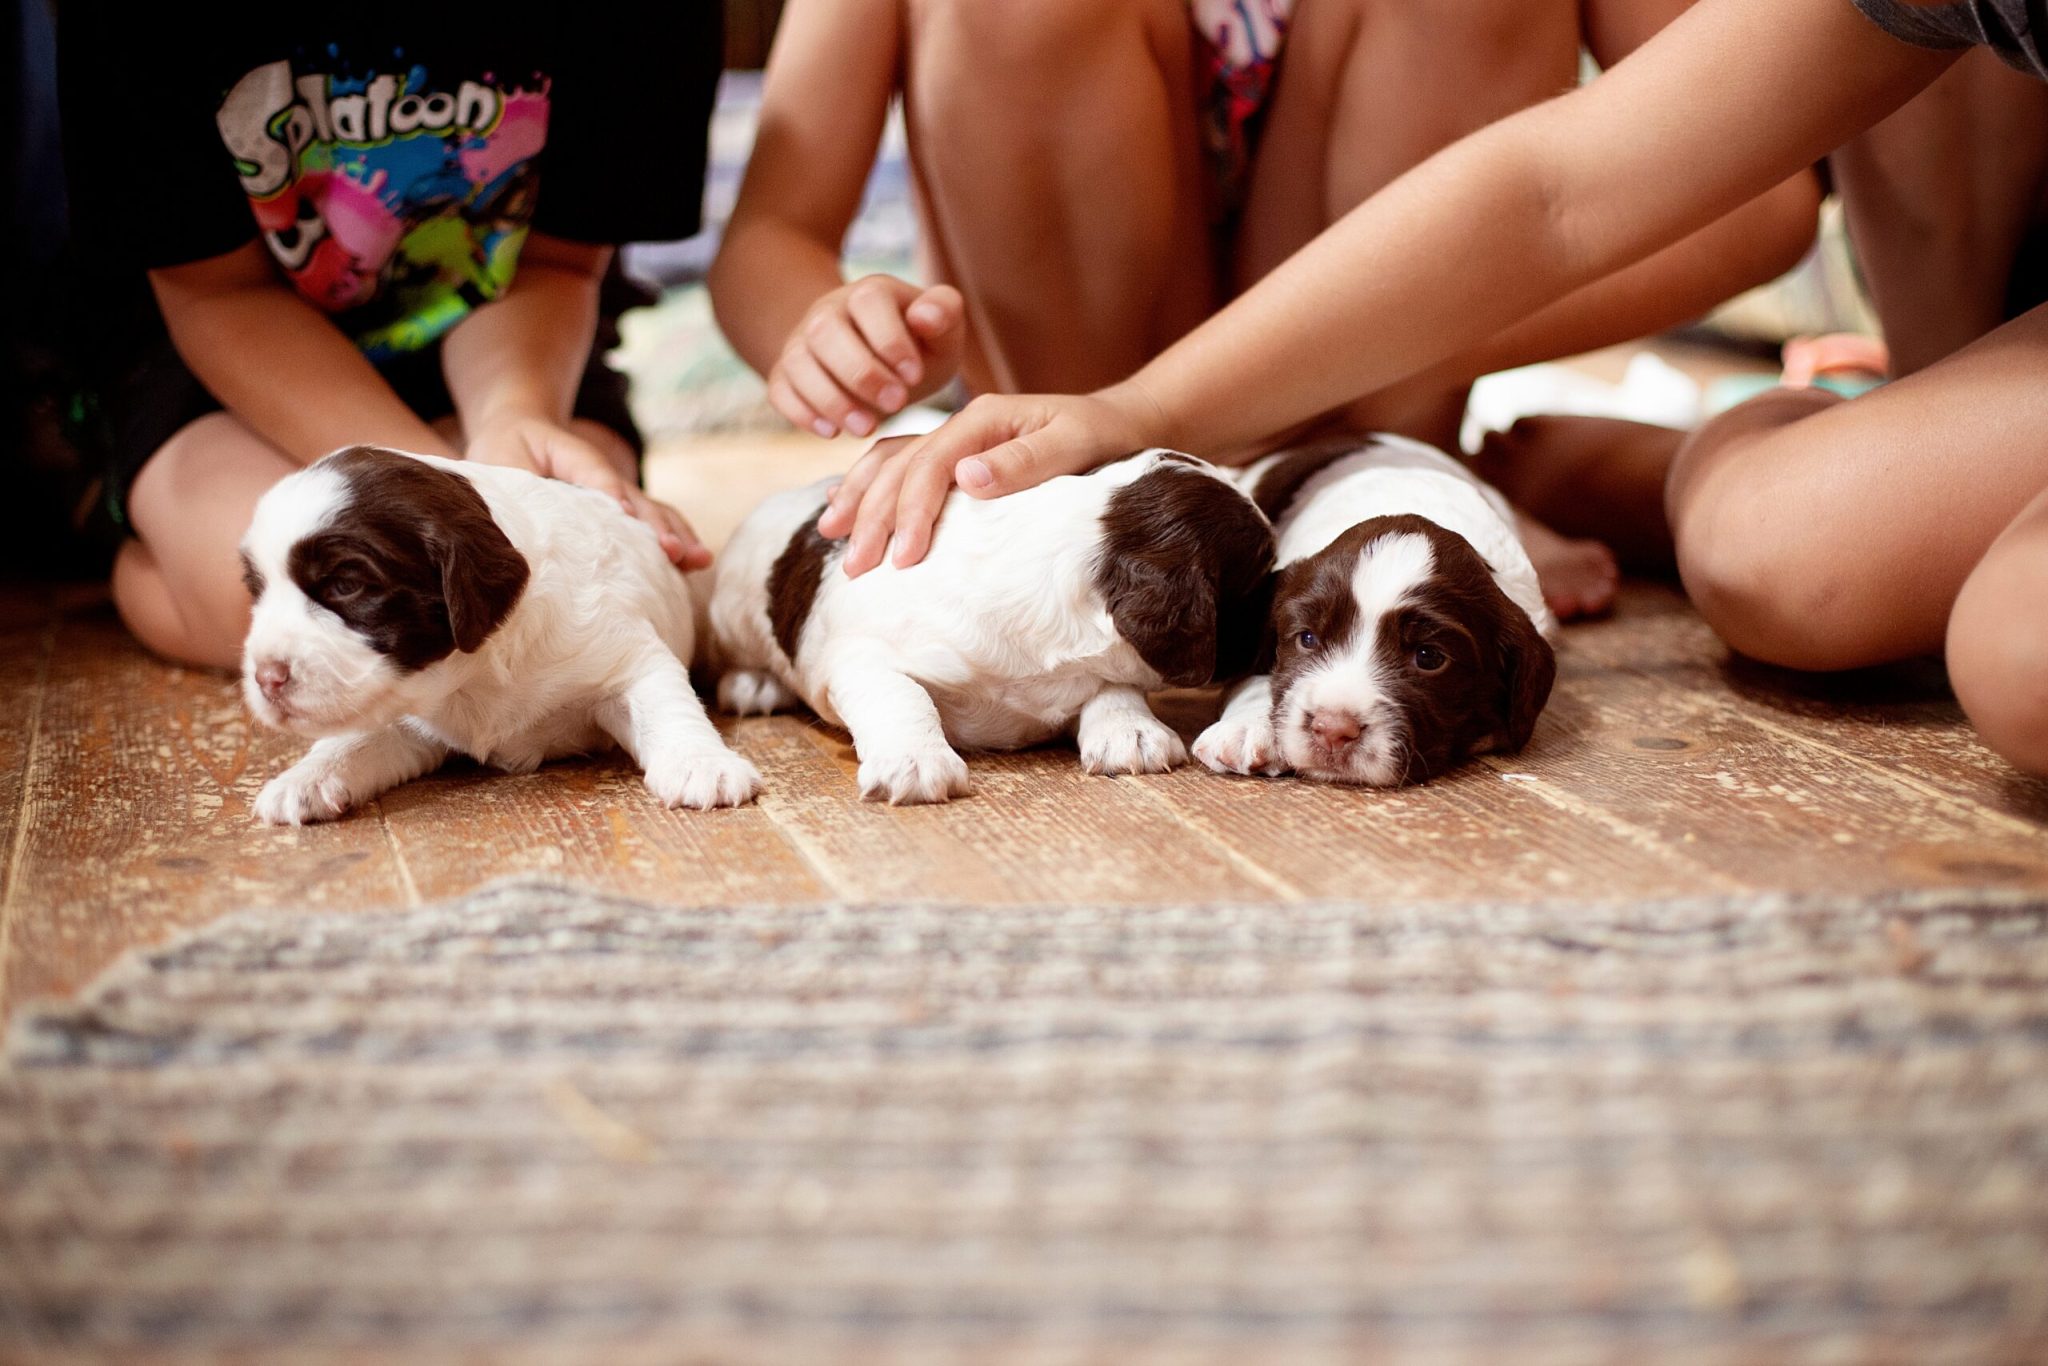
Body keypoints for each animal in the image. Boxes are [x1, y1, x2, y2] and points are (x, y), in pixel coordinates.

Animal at [239, 446, 753, 823]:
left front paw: (701, 763)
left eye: (346, 585)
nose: (266, 678)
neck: (473, 674)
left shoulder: (627, 658)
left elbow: (664, 706)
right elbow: (356, 737)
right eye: (258, 591)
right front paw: (305, 777)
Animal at [712, 448, 1269, 802]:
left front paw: (1130, 732)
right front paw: (916, 762)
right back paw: (753, 684)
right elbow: (903, 695)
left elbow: (1115, 687)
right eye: (1255, 577)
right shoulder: (860, 660)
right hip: (733, 610)